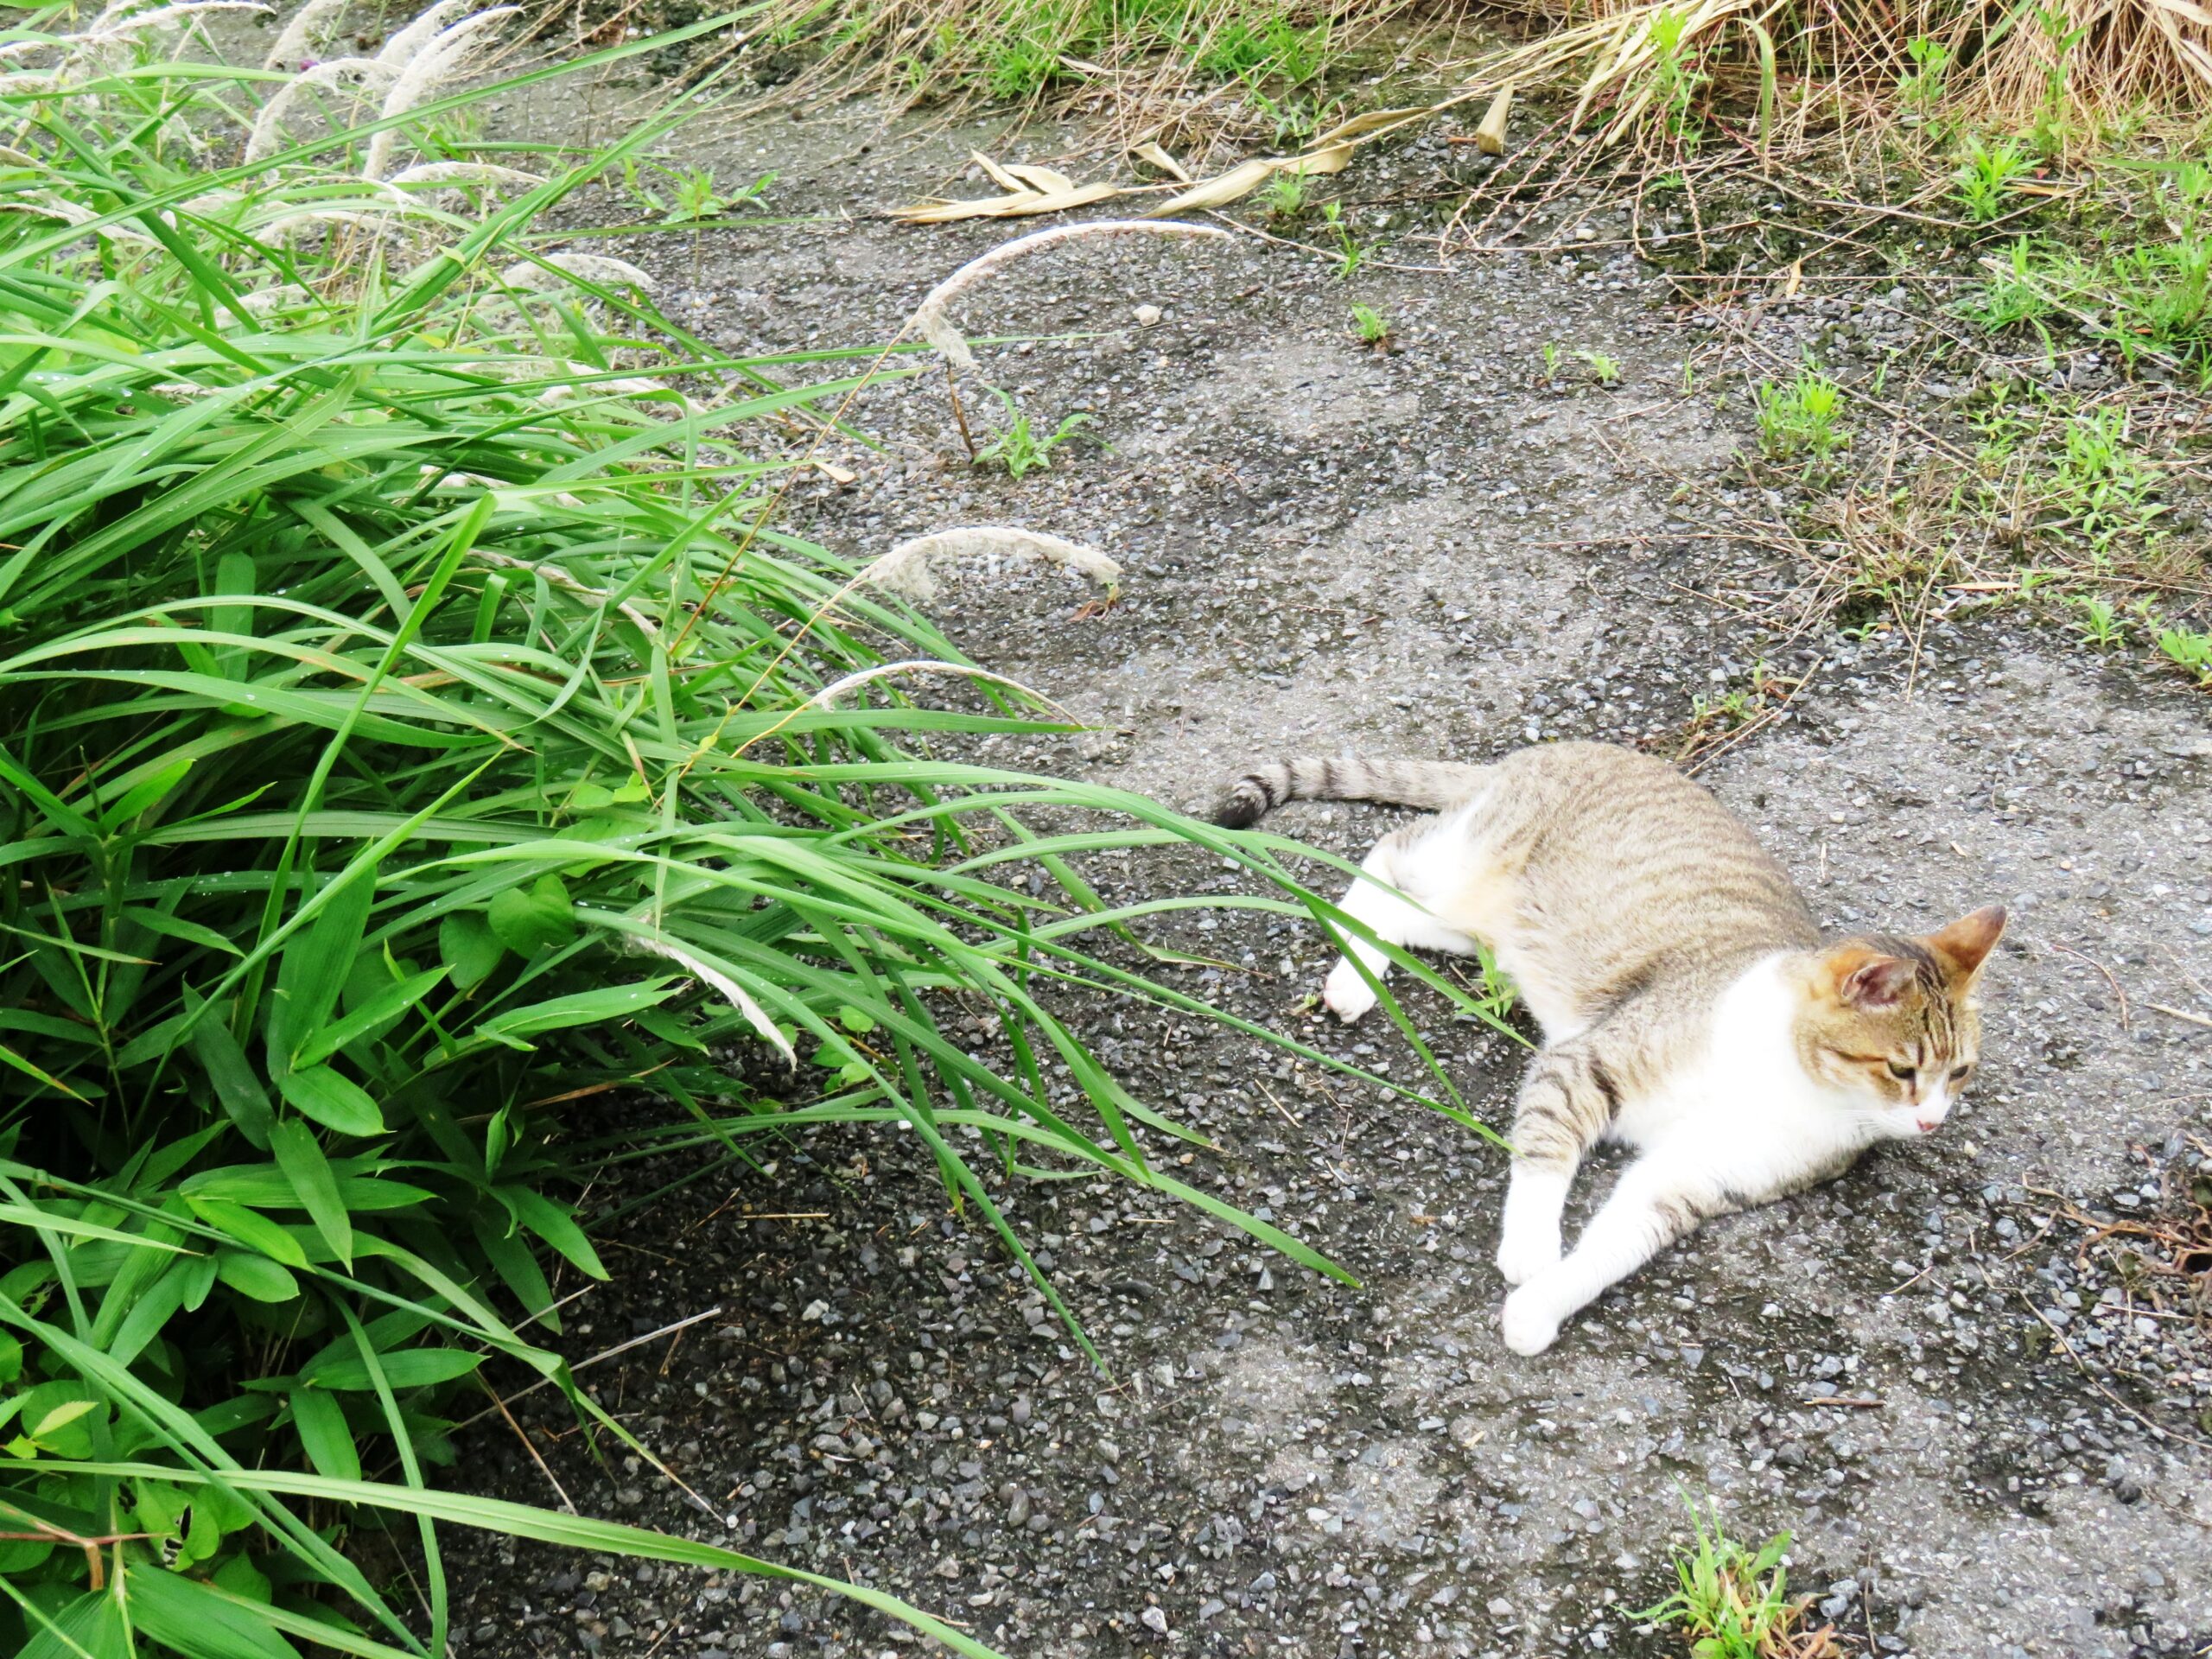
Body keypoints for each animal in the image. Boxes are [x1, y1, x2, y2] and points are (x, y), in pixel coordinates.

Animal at [1211, 747, 2008, 1353]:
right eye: (1902, 1069)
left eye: (1960, 1073)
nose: (1933, 1121)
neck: (1788, 1080)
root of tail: (1543, 751)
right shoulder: (1587, 1063)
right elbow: (1544, 1154)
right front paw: (1532, 1248)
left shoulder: (1698, 1174)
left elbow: (1614, 1247)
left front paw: (1540, 1307)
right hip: (1467, 869)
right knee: (1389, 855)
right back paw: (1350, 975)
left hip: (1479, 932)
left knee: (1403, 918)